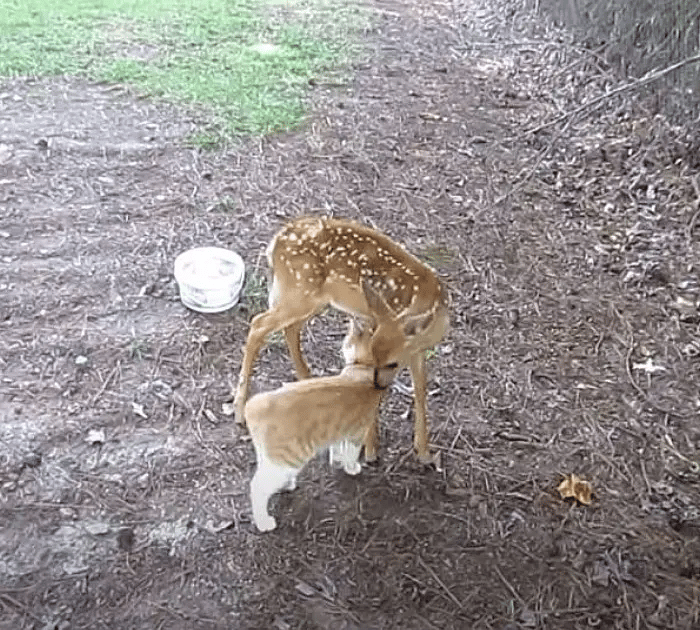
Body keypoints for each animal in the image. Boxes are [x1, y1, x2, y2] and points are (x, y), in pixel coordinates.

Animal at [246, 320, 400, 532]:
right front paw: (351, 467)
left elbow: (336, 447)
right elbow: (351, 453)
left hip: (269, 458)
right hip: (284, 462)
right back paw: (264, 522)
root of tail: (256, 405)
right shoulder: (357, 433)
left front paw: (337, 460)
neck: (363, 369)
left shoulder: (339, 430)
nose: (341, 345)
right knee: (257, 488)